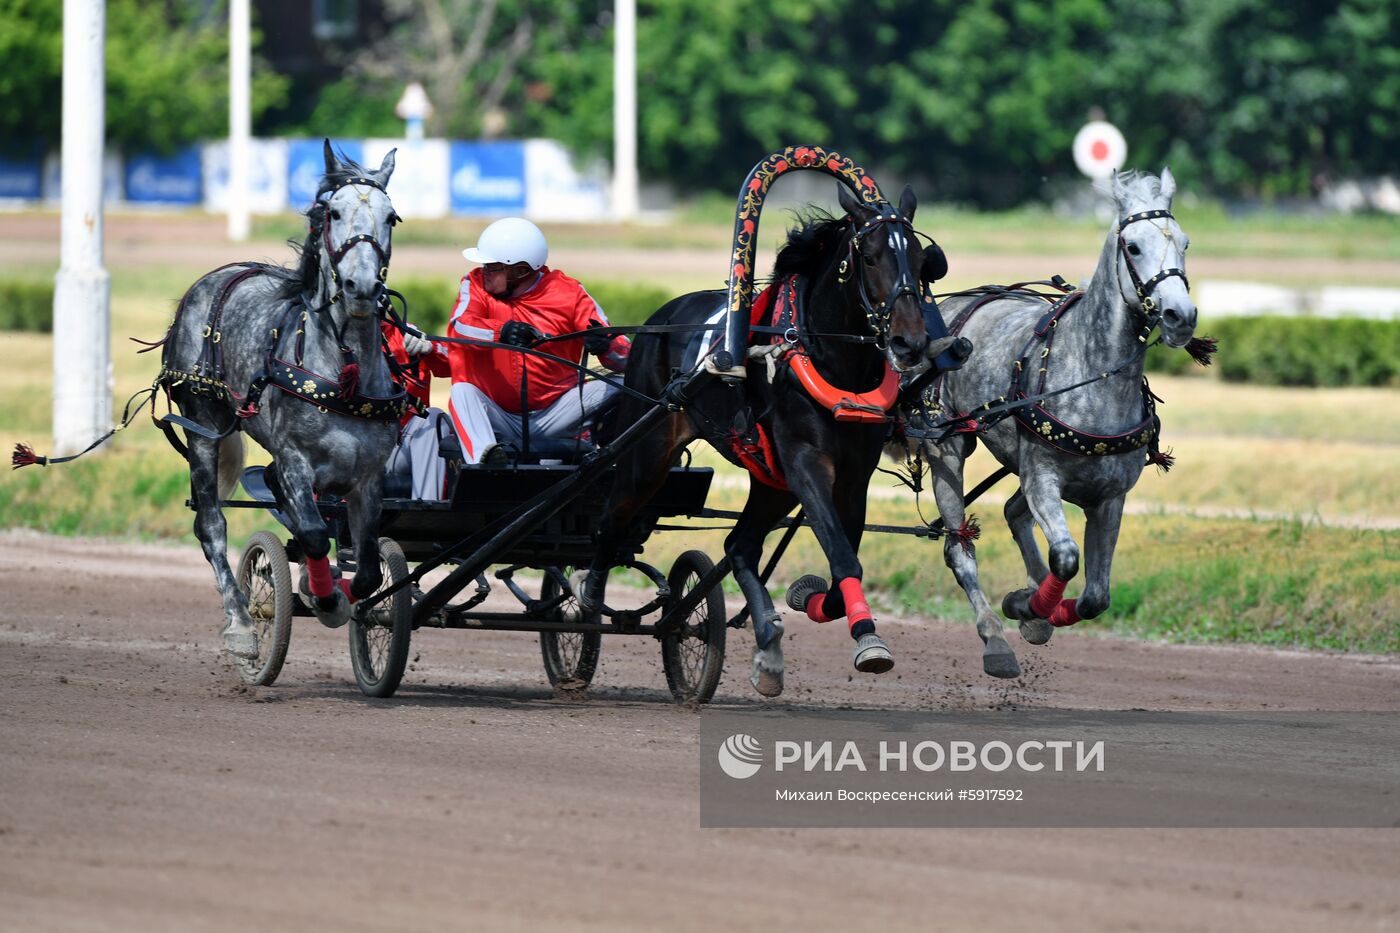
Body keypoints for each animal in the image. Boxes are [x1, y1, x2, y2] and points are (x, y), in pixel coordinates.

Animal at [163, 141, 408, 658]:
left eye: (391, 217)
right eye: (332, 213)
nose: (362, 287)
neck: (343, 372)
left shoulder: (369, 475)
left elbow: (368, 566)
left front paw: (340, 593)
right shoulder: (296, 458)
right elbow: (314, 535)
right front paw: (324, 597)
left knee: (273, 488)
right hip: (203, 424)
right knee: (211, 524)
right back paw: (239, 622)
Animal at [579, 182, 952, 694]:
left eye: (919, 259)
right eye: (871, 257)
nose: (909, 343)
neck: (832, 362)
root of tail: (660, 319)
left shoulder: (852, 476)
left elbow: (843, 561)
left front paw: (811, 601)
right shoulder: (806, 462)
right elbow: (842, 554)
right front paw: (868, 640)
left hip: (770, 481)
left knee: (739, 546)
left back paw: (768, 645)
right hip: (649, 453)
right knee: (610, 522)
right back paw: (587, 606)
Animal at [912, 167, 1198, 675]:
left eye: (1184, 242)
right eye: (1133, 246)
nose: (1179, 316)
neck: (1093, 374)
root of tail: (950, 309)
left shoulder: (1109, 497)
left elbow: (1096, 598)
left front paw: (1035, 609)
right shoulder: (1043, 477)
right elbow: (1065, 557)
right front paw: (1027, 605)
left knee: (1011, 512)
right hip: (947, 446)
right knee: (959, 547)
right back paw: (994, 636)